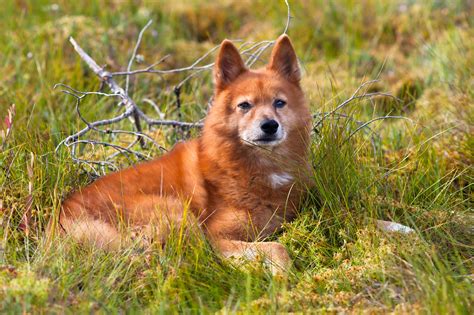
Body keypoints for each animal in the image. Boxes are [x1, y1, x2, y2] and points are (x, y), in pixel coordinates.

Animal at [59, 35, 312, 274]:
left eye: (279, 103)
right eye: (244, 105)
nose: (269, 126)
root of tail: (61, 221)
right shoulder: (217, 236)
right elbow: (277, 247)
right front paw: (281, 277)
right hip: (178, 213)